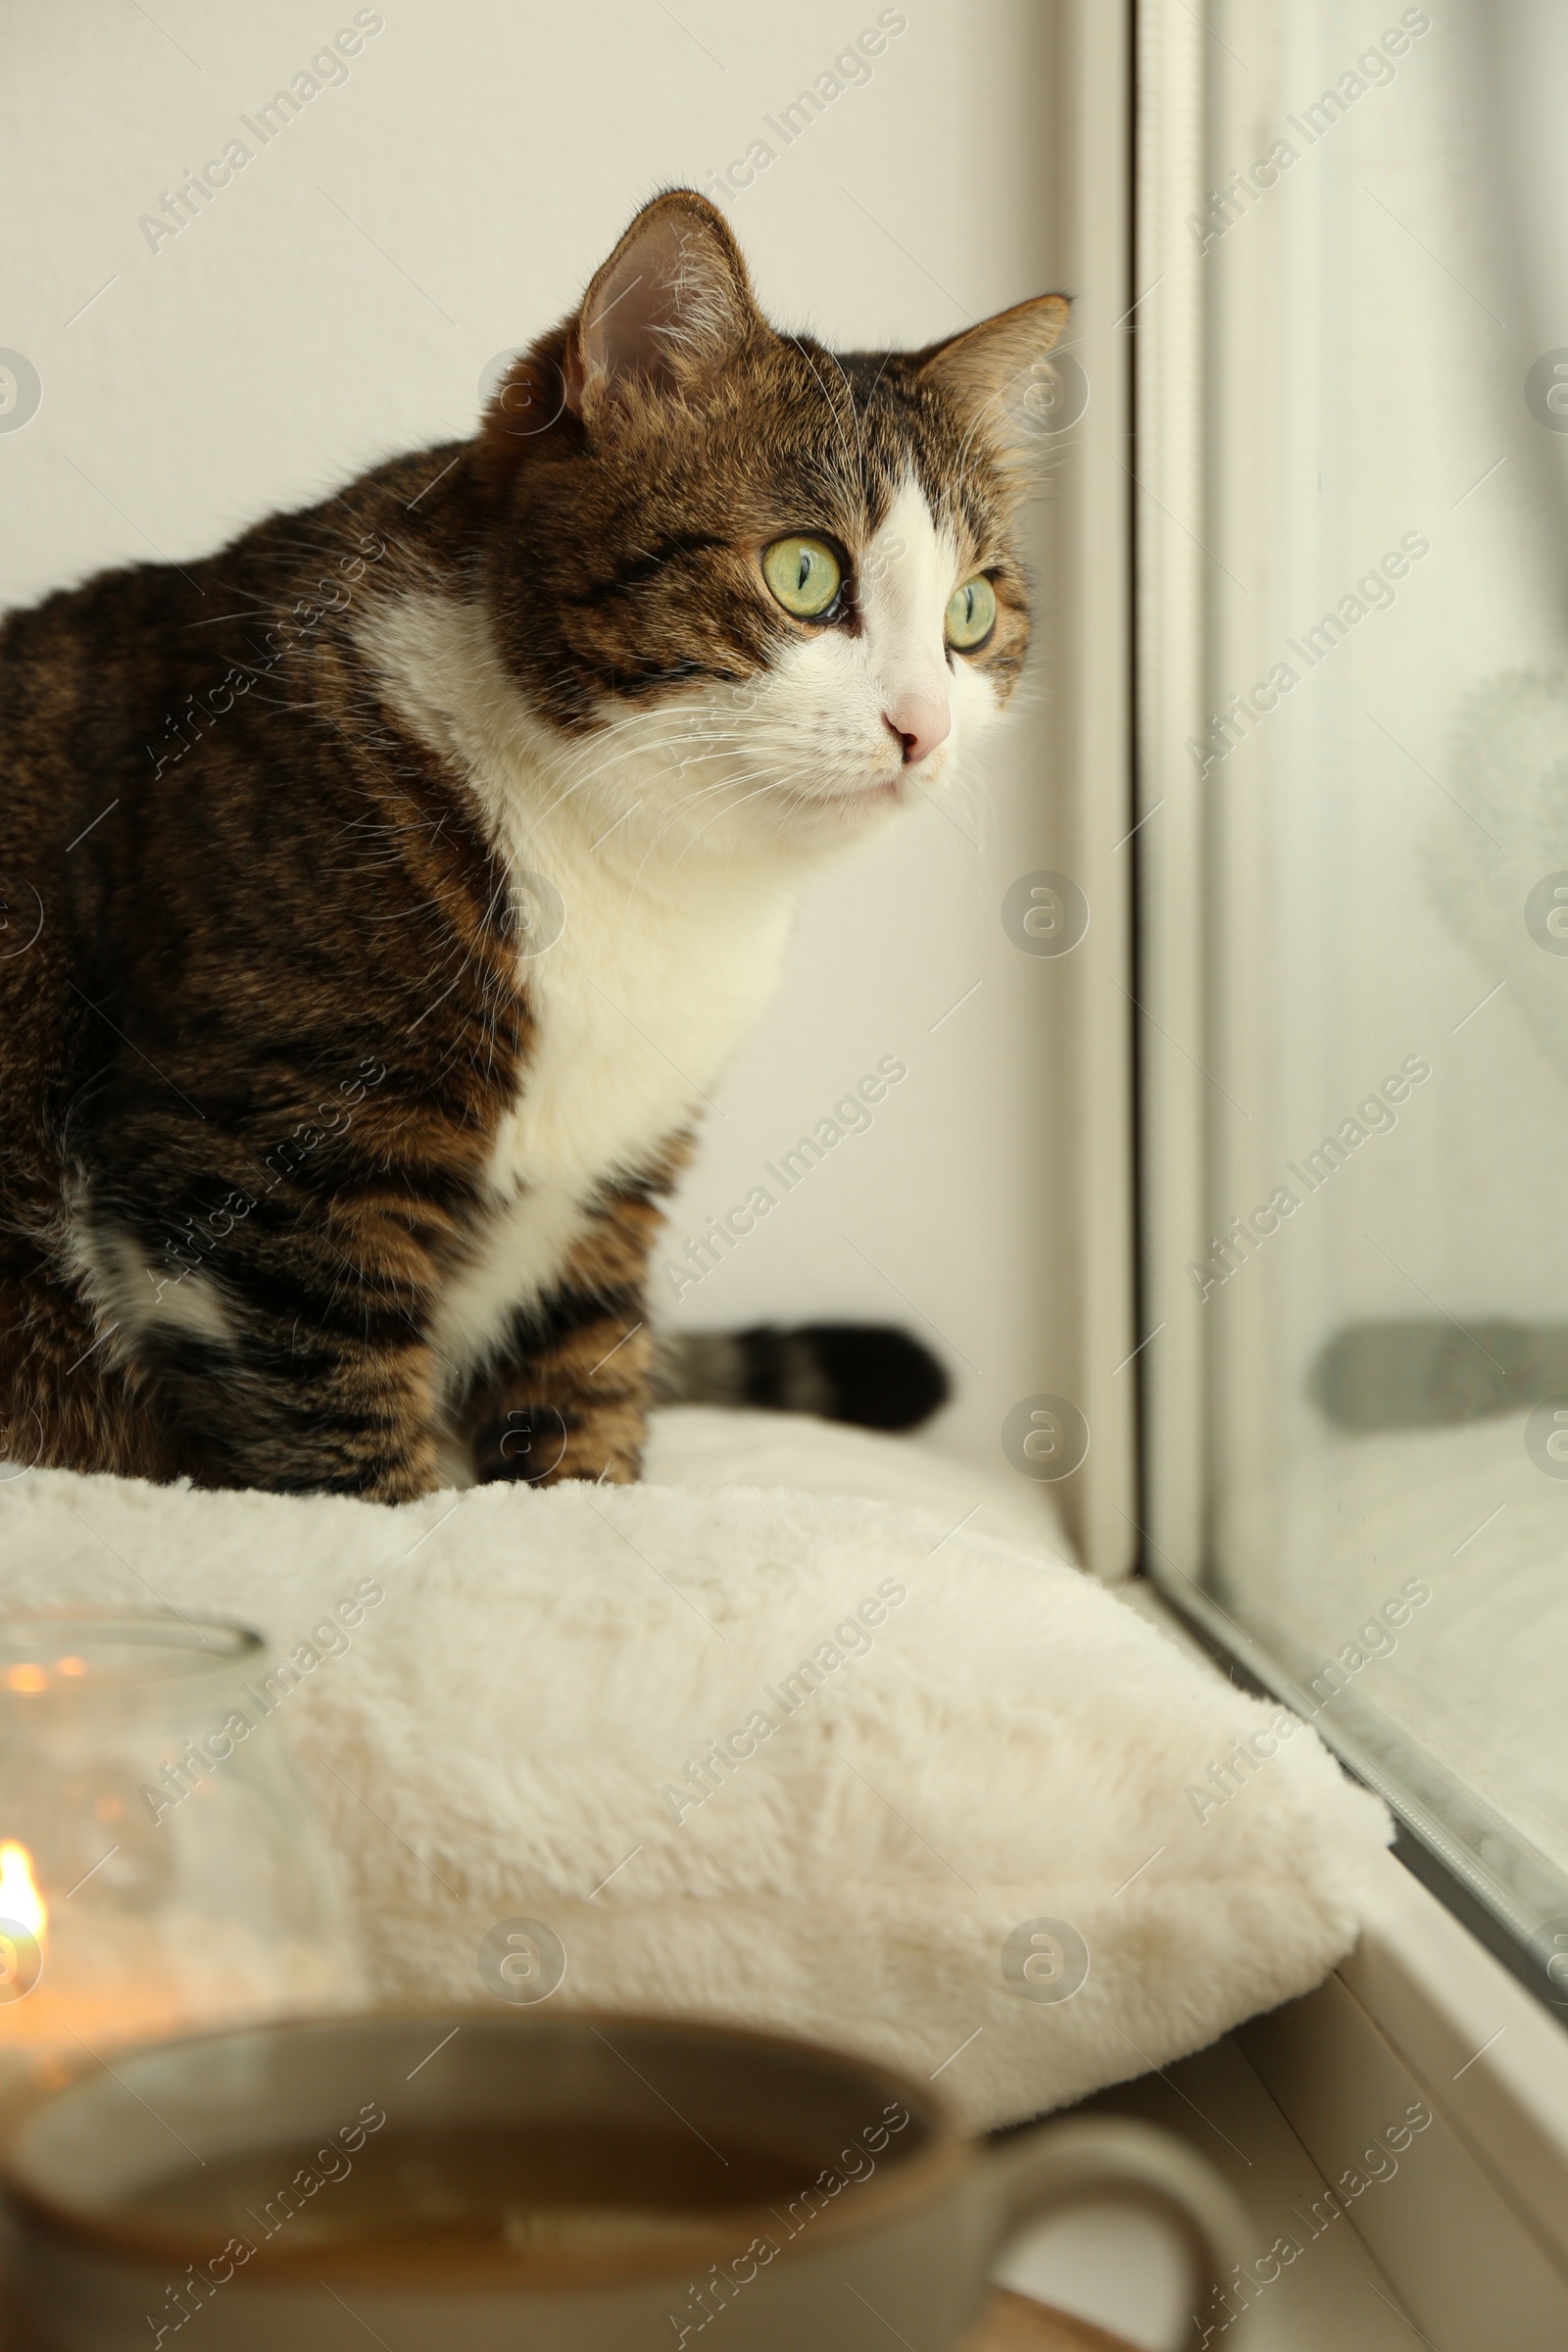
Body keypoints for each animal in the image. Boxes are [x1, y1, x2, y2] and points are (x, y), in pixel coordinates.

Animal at [0, 192, 1067, 1495]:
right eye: (804, 572)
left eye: (971, 611)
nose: (924, 727)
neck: (645, 875)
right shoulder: (258, 1169)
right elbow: (339, 1433)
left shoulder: (604, 1187)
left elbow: (584, 1382)